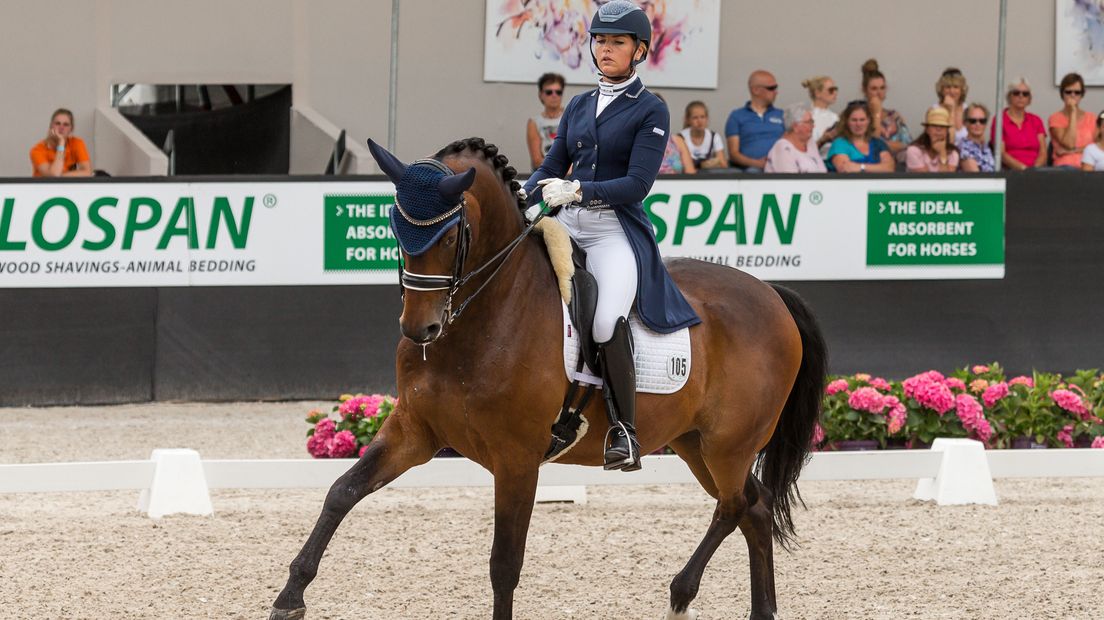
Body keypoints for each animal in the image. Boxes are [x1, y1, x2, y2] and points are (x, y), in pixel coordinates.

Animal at [269, 137, 830, 613]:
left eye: (451, 235)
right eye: (393, 227)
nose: (419, 329)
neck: (482, 317)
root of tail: (770, 293)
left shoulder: (517, 459)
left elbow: (504, 564)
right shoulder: (416, 431)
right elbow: (342, 491)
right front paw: (290, 596)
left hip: (728, 443)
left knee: (733, 507)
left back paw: (679, 593)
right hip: (693, 442)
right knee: (754, 508)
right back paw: (758, 609)